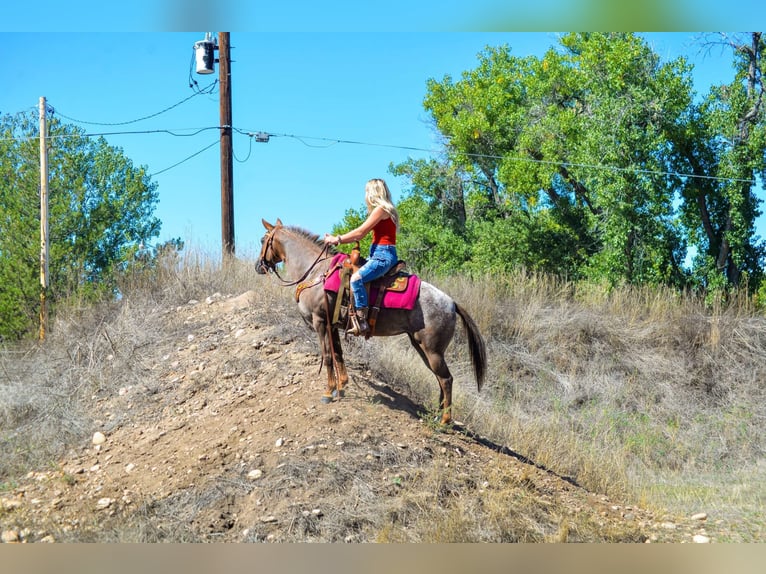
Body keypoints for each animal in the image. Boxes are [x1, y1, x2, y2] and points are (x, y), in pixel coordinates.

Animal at [256, 218, 486, 426]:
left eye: (262, 240)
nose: (259, 266)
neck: (316, 272)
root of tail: (451, 303)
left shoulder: (320, 321)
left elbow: (328, 356)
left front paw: (329, 392)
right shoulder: (333, 325)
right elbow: (338, 353)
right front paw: (342, 386)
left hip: (433, 350)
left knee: (446, 379)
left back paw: (445, 420)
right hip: (422, 347)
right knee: (439, 378)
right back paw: (437, 415)